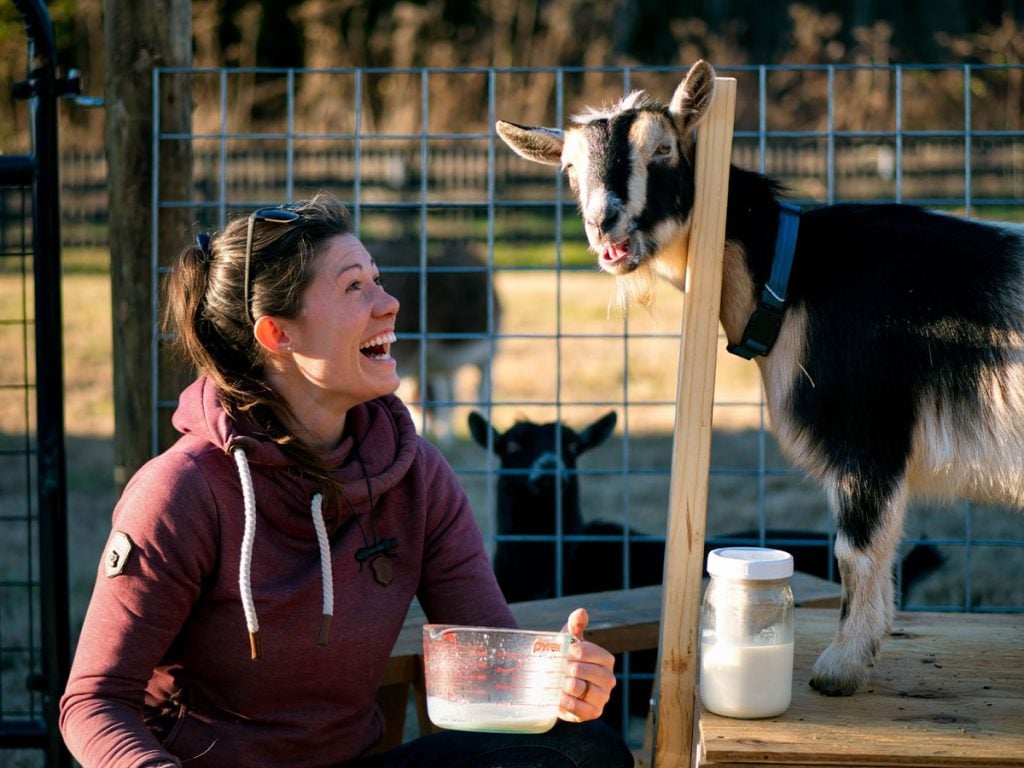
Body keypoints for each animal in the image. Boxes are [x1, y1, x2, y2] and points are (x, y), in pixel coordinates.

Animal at [491, 58, 1019, 696]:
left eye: (663, 148)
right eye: (569, 169)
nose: (603, 224)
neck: (796, 277)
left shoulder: (868, 430)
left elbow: (857, 549)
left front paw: (841, 667)